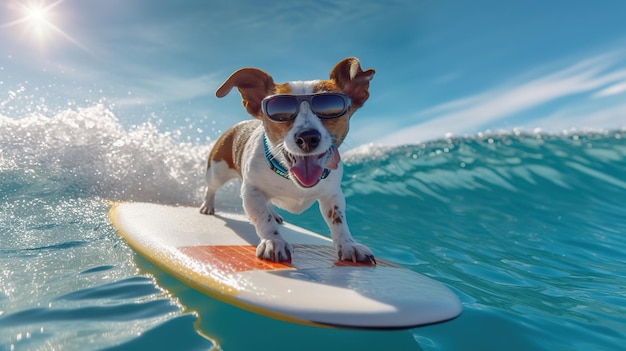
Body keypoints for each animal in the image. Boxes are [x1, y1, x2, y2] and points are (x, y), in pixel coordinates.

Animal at [201, 58, 376, 264]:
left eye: (330, 108)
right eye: (280, 111)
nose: (307, 137)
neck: (288, 175)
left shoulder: (332, 194)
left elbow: (338, 220)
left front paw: (349, 244)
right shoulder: (251, 191)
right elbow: (263, 218)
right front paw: (274, 241)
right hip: (217, 171)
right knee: (211, 188)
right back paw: (207, 206)